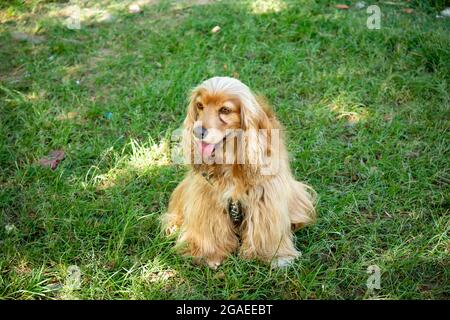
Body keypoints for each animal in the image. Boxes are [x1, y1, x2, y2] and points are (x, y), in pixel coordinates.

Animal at [163, 77, 316, 268]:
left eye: (225, 110)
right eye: (199, 105)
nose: (197, 132)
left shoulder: (265, 194)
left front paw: (274, 256)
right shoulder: (206, 195)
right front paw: (208, 255)